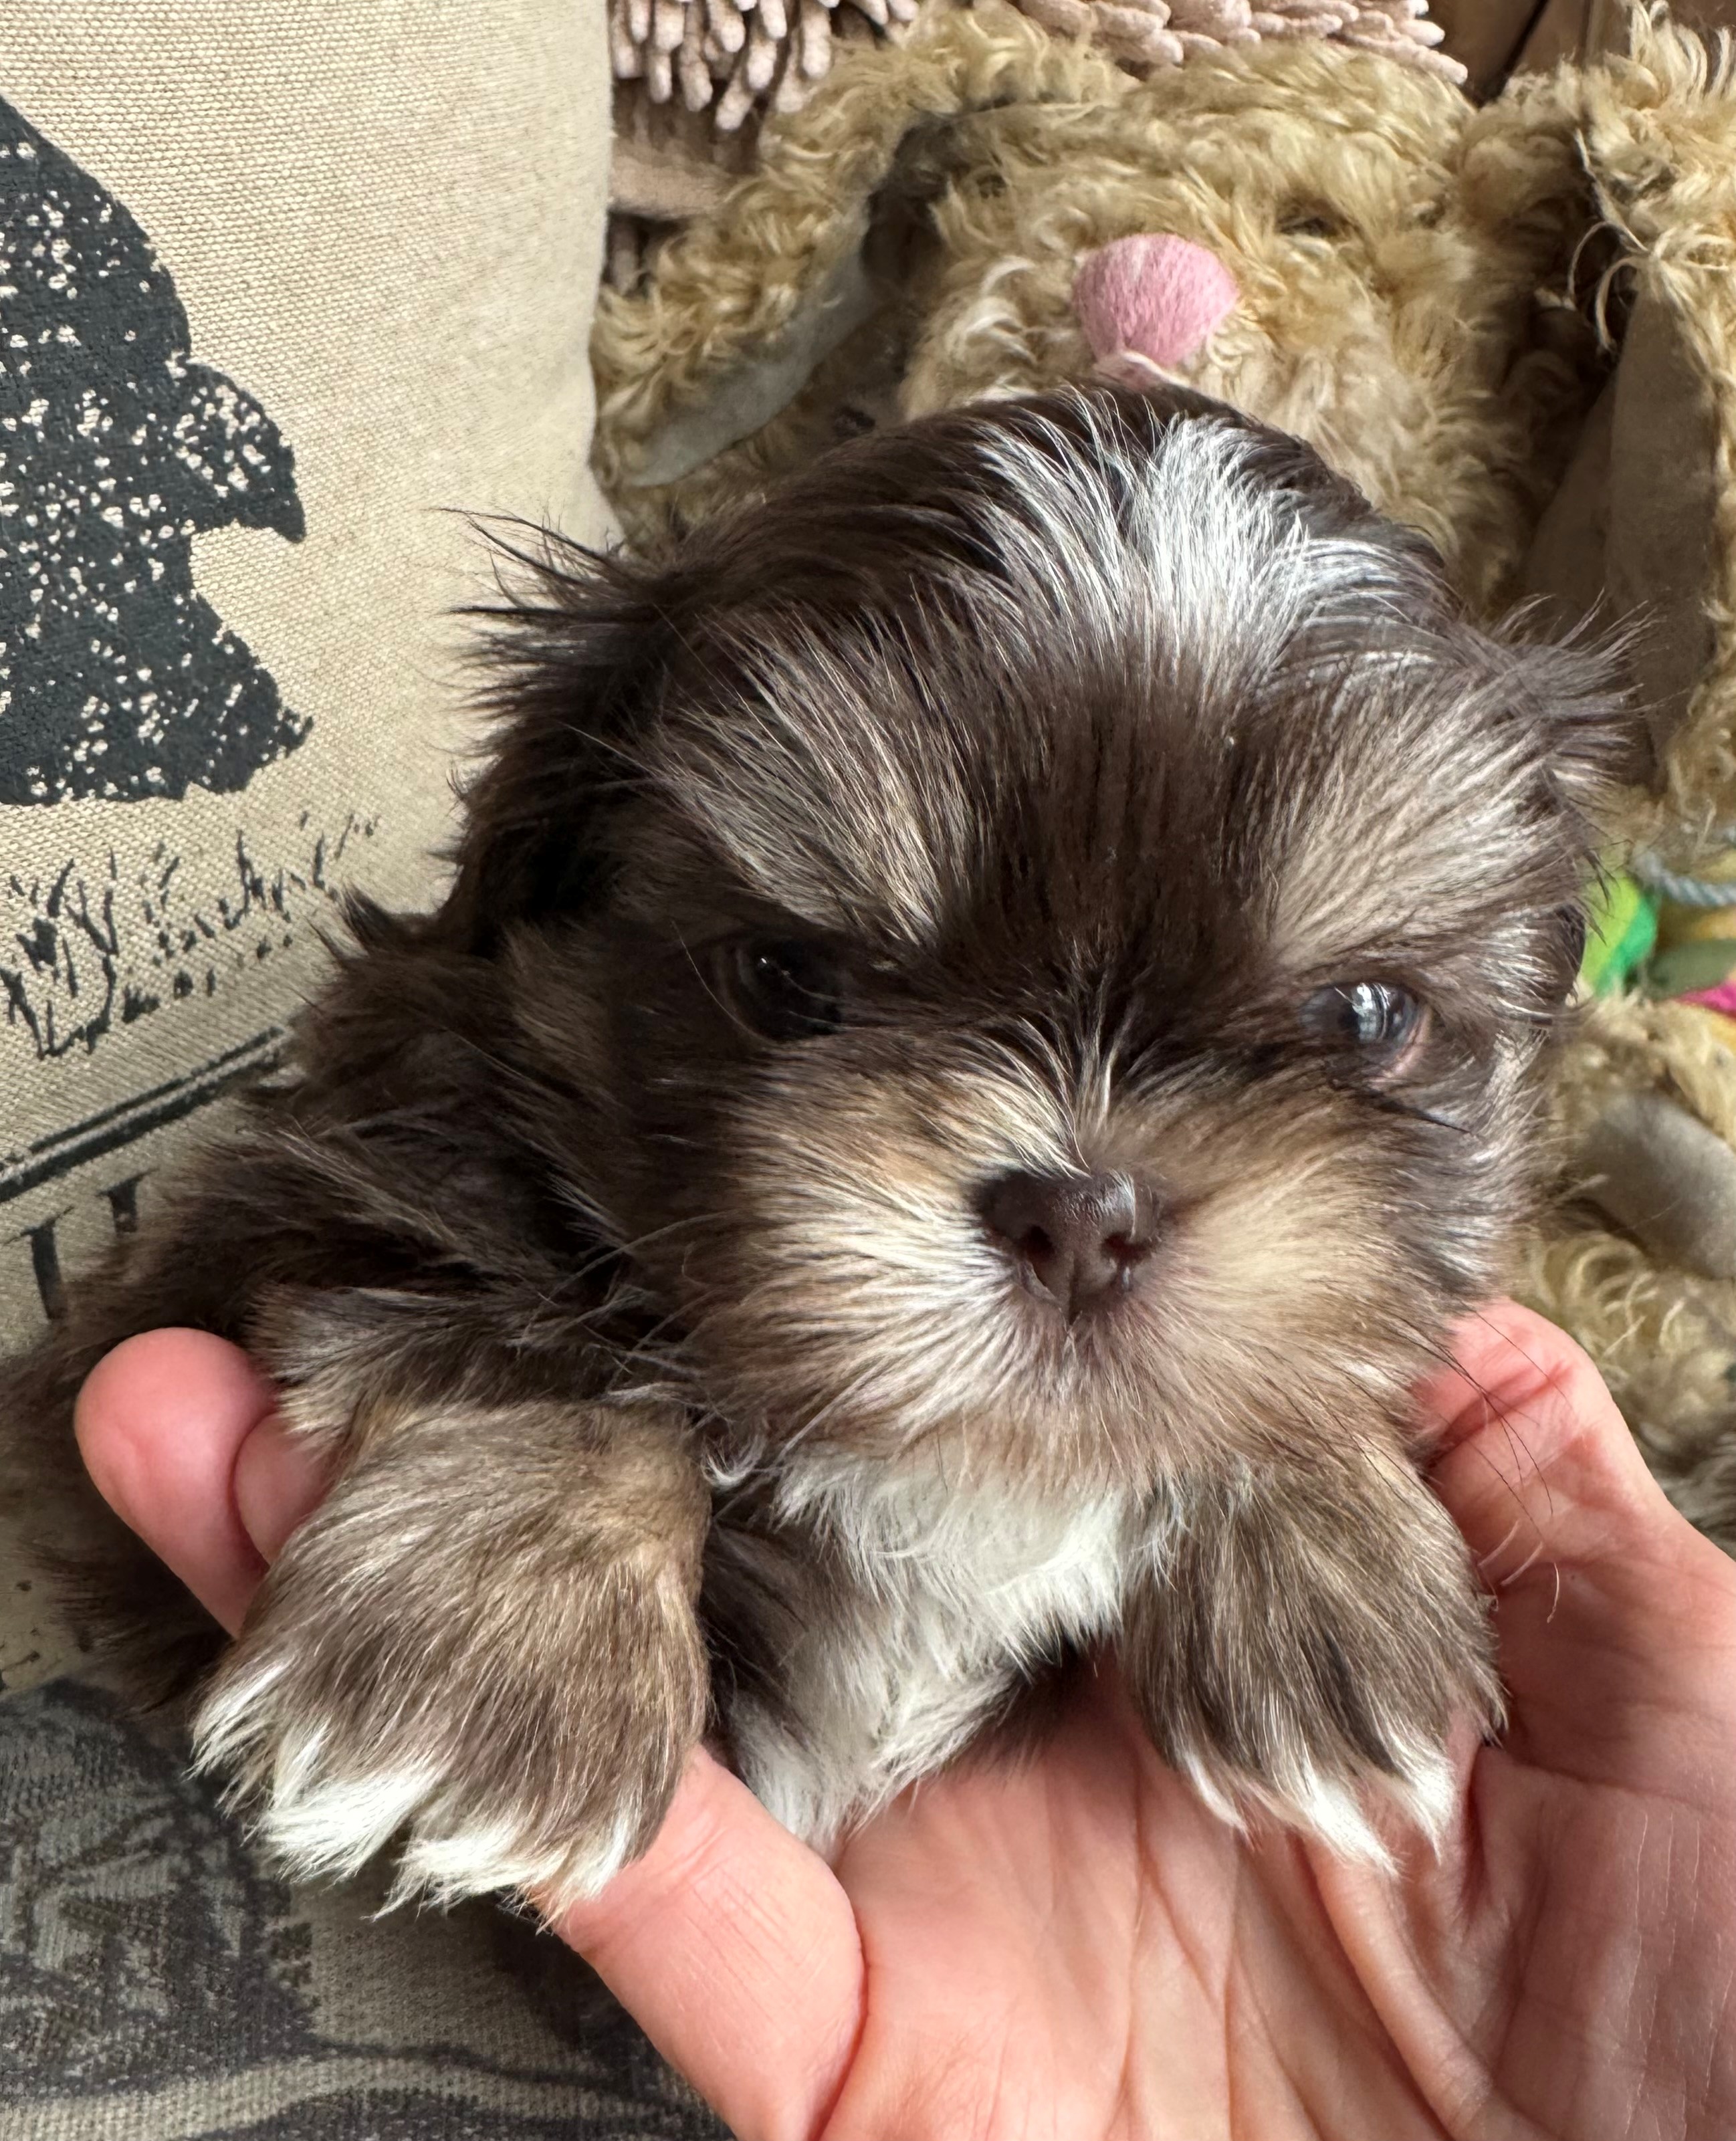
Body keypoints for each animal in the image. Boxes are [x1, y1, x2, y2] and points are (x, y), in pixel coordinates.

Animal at [5, 382, 1639, 1910]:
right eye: (793, 977)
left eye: (1363, 1016)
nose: (1083, 1214)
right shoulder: (310, 1173)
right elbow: (555, 1316)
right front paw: (489, 1644)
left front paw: (1323, 1548)